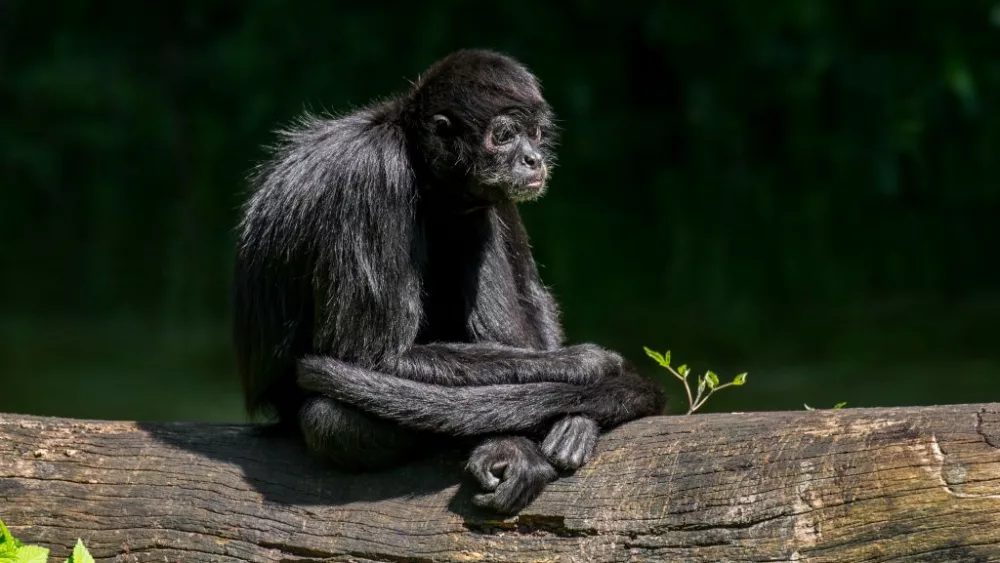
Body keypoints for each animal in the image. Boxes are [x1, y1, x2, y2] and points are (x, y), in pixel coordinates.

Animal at [233, 49, 664, 516]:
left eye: (534, 134)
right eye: (505, 136)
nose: (533, 159)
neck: (412, 158)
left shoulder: (494, 191)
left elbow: (533, 294)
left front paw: (580, 417)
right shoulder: (373, 177)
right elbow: (372, 357)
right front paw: (582, 362)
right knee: (329, 420)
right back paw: (510, 444)